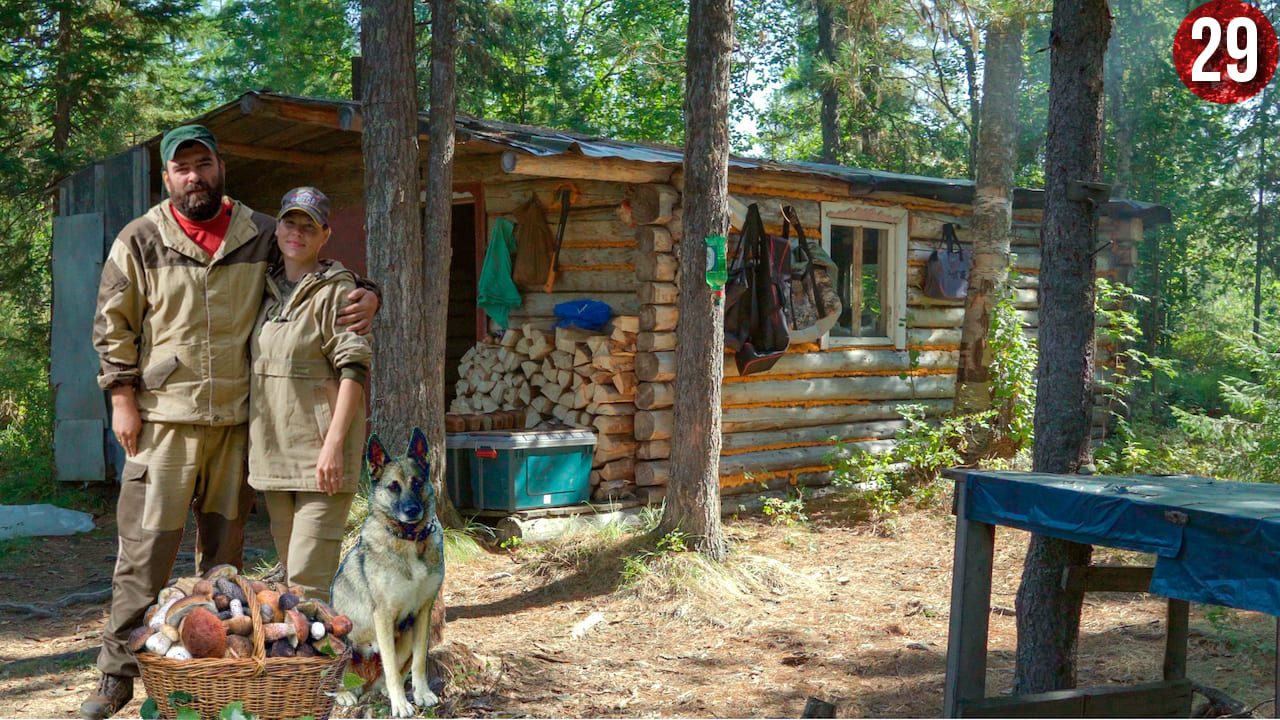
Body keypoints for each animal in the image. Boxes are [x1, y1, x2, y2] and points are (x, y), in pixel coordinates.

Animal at [330, 425, 445, 712]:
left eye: (417, 483)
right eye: (394, 487)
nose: (412, 510)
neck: (409, 540)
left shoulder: (423, 612)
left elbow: (418, 661)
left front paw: (421, 693)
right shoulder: (382, 615)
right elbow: (391, 667)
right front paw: (400, 704)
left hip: (404, 636)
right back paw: (344, 693)